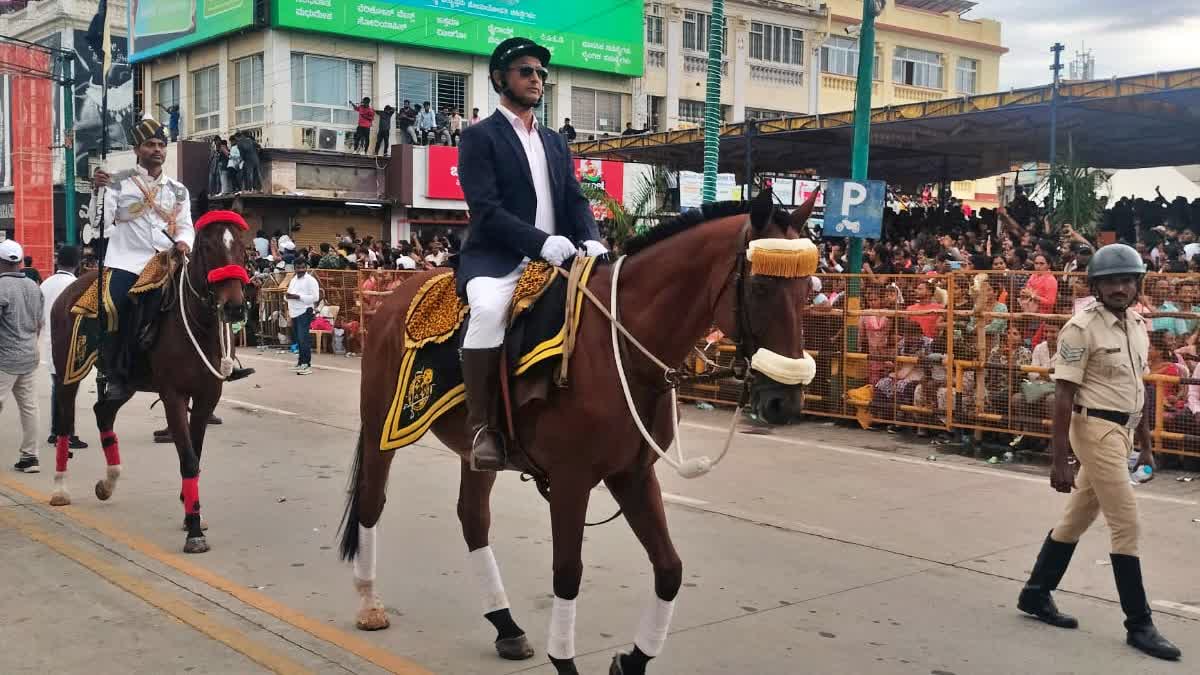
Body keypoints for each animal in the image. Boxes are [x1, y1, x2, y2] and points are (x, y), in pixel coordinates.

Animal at [48, 211, 249, 552]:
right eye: (206, 247)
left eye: (242, 247)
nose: (234, 307)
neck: (198, 325)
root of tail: (70, 288)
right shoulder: (173, 395)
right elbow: (188, 459)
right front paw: (194, 531)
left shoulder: (207, 395)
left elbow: (195, 453)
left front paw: (190, 513)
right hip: (68, 370)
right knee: (65, 420)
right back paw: (60, 488)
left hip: (125, 382)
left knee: (103, 412)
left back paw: (109, 482)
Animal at [340, 184, 816, 672]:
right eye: (760, 285)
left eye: (807, 288)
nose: (784, 402)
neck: (622, 345)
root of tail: (392, 298)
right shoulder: (572, 480)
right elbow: (567, 574)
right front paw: (566, 660)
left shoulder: (632, 475)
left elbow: (669, 569)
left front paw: (632, 659)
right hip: (380, 430)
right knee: (371, 505)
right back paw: (369, 603)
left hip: (474, 454)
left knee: (473, 520)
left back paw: (506, 626)